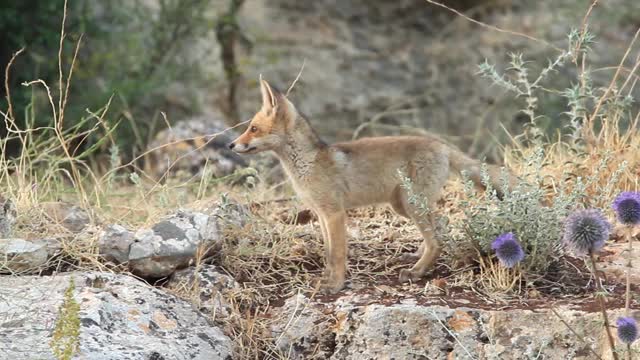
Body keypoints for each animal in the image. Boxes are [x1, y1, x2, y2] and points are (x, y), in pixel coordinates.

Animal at [228, 77, 512, 294]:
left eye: (253, 128)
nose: (231, 145)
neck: (308, 163)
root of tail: (441, 144)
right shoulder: (321, 214)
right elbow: (328, 253)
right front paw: (326, 278)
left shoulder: (334, 213)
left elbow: (337, 254)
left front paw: (335, 285)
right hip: (404, 206)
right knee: (441, 226)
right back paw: (416, 258)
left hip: (412, 204)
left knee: (437, 240)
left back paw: (417, 272)